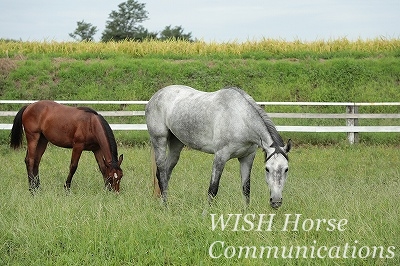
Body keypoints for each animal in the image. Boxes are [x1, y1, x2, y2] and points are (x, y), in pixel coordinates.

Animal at [145, 85, 290, 208]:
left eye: (286, 169)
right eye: (267, 169)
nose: (276, 201)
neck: (240, 119)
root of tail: (156, 95)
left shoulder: (247, 157)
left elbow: (246, 188)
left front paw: (246, 213)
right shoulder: (220, 157)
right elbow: (213, 188)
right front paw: (205, 214)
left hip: (176, 144)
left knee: (167, 172)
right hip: (159, 140)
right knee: (161, 173)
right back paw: (165, 206)